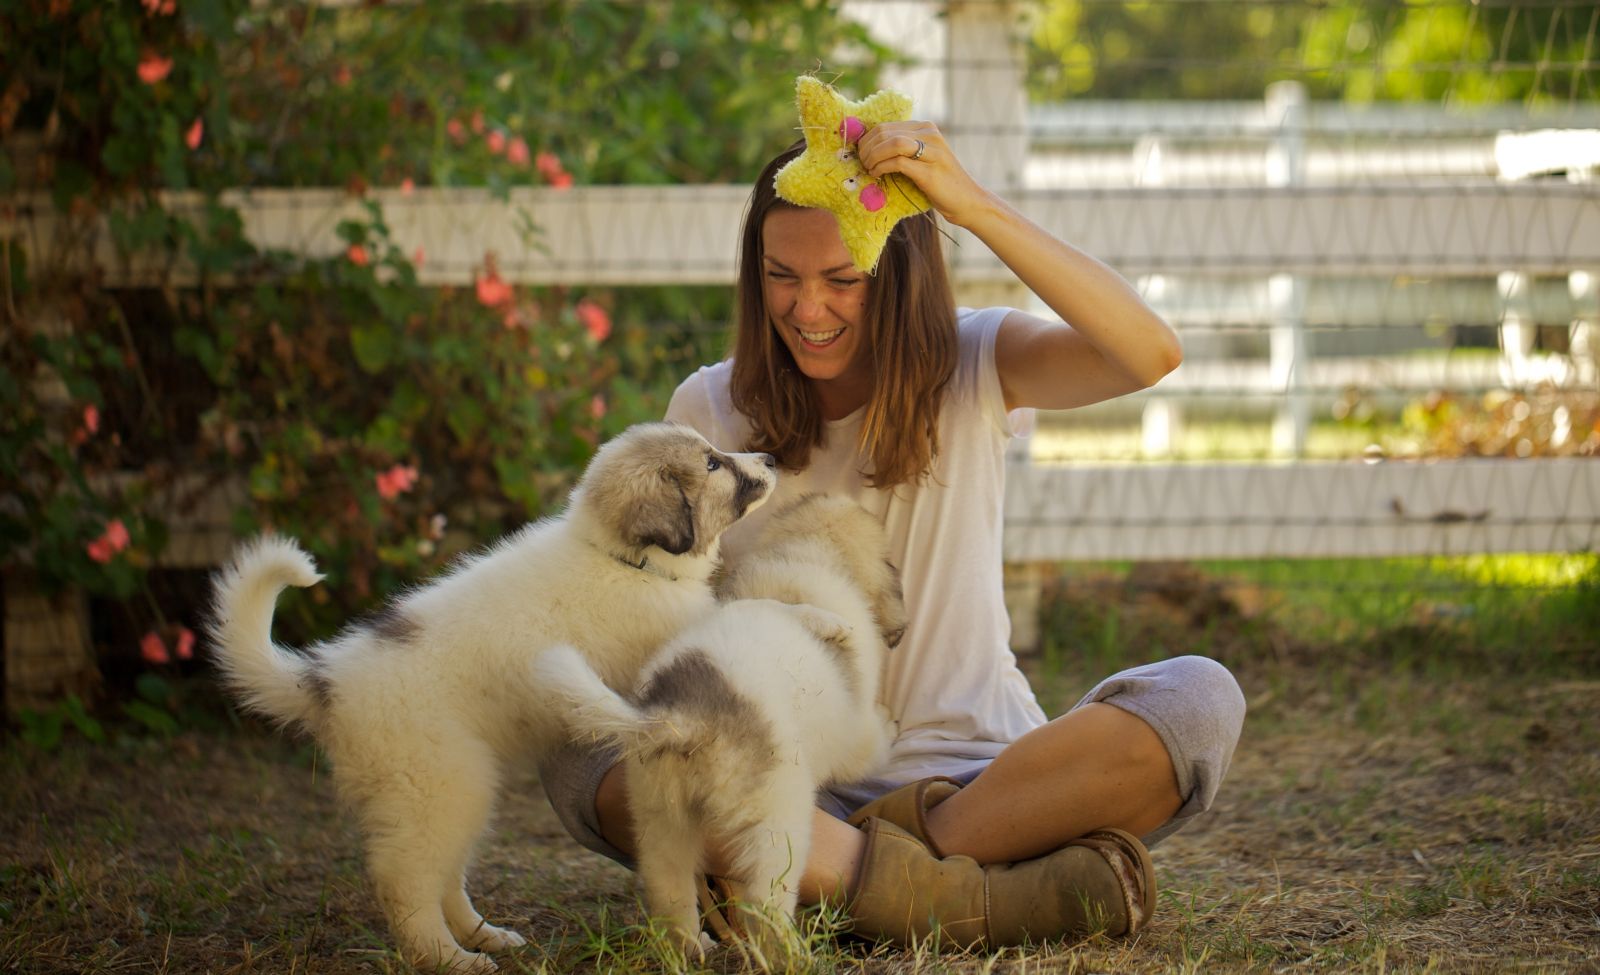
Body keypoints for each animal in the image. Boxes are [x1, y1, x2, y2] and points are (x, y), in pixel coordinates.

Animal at [203, 422, 777, 973]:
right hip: (438, 785)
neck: (622, 560)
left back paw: (486, 936)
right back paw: (448, 957)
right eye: (711, 464)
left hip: (457, 788)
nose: (770, 458)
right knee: (407, 883)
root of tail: (327, 681)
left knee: (446, 874)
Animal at [537, 499, 908, 954]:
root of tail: (685, 718)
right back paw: (794, 954)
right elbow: (875, 742)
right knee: (765, 904)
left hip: (660, 819)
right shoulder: (855, 736)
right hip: (777, 824)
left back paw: (692, 946)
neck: (809, 553)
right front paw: (892, 723)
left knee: (670, 892)